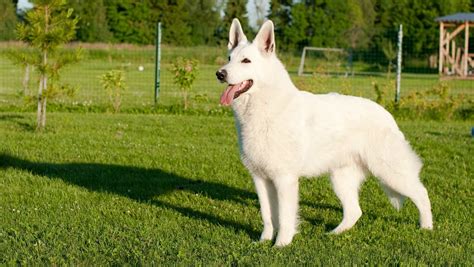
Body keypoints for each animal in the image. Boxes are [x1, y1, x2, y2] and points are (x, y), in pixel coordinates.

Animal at [217, 18, 432, 247]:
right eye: (229, 59)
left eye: (246, 61)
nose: (220, 74)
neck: (265, 107)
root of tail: (388, 116)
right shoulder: (260, 179)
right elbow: (267, 216)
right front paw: (264, 241)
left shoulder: (284, 180)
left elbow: (284, 217)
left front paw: (281, 245)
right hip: (341, 179)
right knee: (355, 211)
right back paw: (334, 234)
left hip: (390, 173)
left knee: (422, 193)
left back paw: (427, 228)